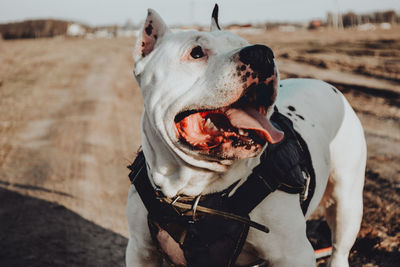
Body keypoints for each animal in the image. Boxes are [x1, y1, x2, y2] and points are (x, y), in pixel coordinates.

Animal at [126, 4, 368, 267]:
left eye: (244, 43)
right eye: (196, 52)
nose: (262, 53)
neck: (195, 191)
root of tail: (325, 84)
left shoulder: (295, 254)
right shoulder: (141, 250)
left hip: (347, 202)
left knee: (340, 247)